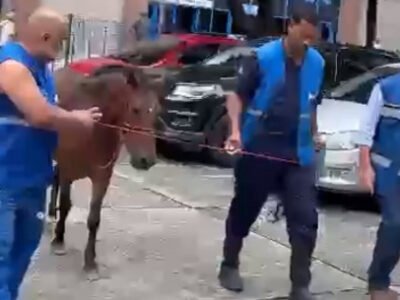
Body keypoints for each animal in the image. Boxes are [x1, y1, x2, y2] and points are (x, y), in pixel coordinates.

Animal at [47, 59, 159, 276]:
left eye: (156, 111)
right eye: (135, 109)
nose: (146, 160)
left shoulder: (102, 176)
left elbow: (94, 219)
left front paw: (90, 261)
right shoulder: (67, 168)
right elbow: (65, 204)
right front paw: (59, 240)